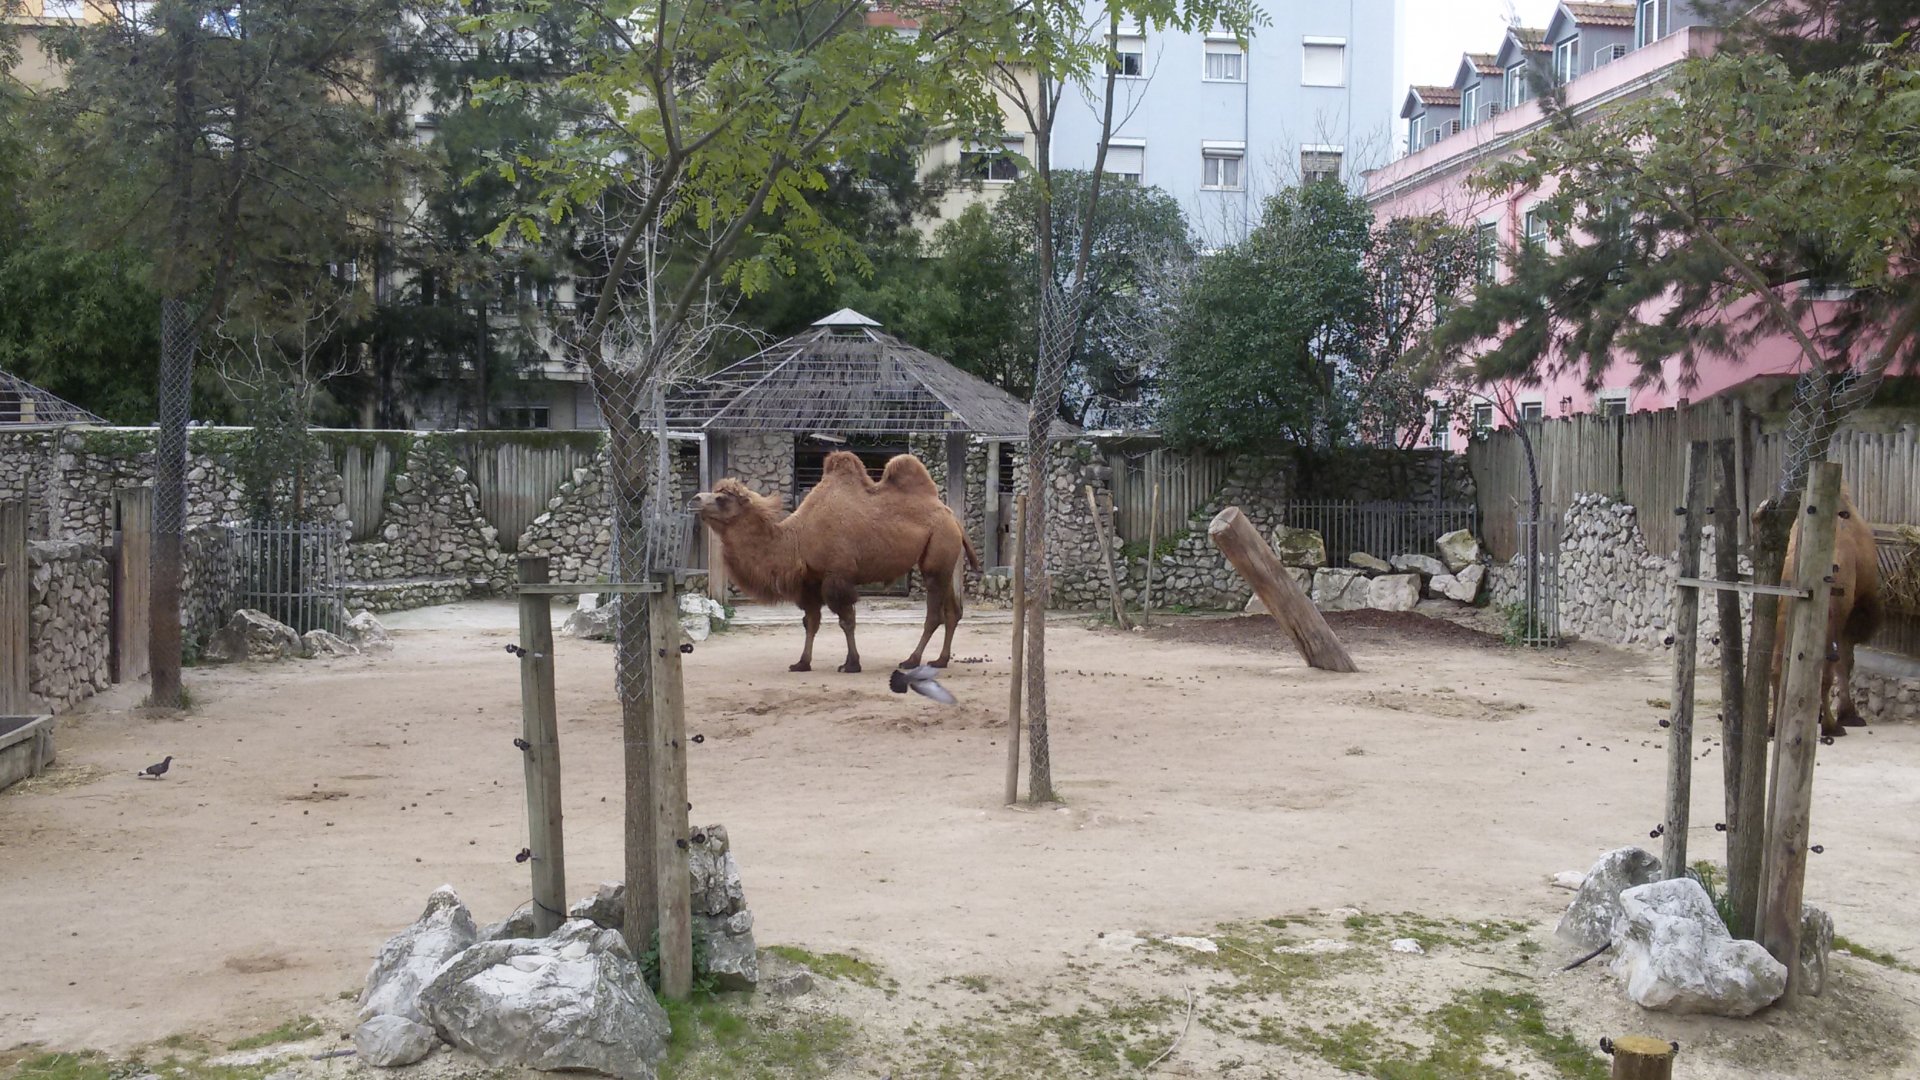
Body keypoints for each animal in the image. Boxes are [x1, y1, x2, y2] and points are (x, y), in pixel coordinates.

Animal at [692, 450, 980, 674]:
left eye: (722, 498)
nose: (695, 499)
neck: (796, 539)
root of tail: (953, 517)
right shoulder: (811, 581)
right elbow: (810, 621)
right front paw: (801, 663)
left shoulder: (837, 576)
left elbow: (846, 620)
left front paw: (851, 664)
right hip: (946, 561)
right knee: (953, 611)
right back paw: (940, 660)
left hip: (937, 554)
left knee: (934, 614)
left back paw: (911, 660)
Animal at [1767, 485, 1882, 737]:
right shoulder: (1849, 614)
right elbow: (1845, 662)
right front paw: (1848, 715)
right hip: (1828, 619)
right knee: (1824, 670)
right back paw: (1832, 726)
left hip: (1783, 616)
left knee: (1777, 667)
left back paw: (1773, 726)